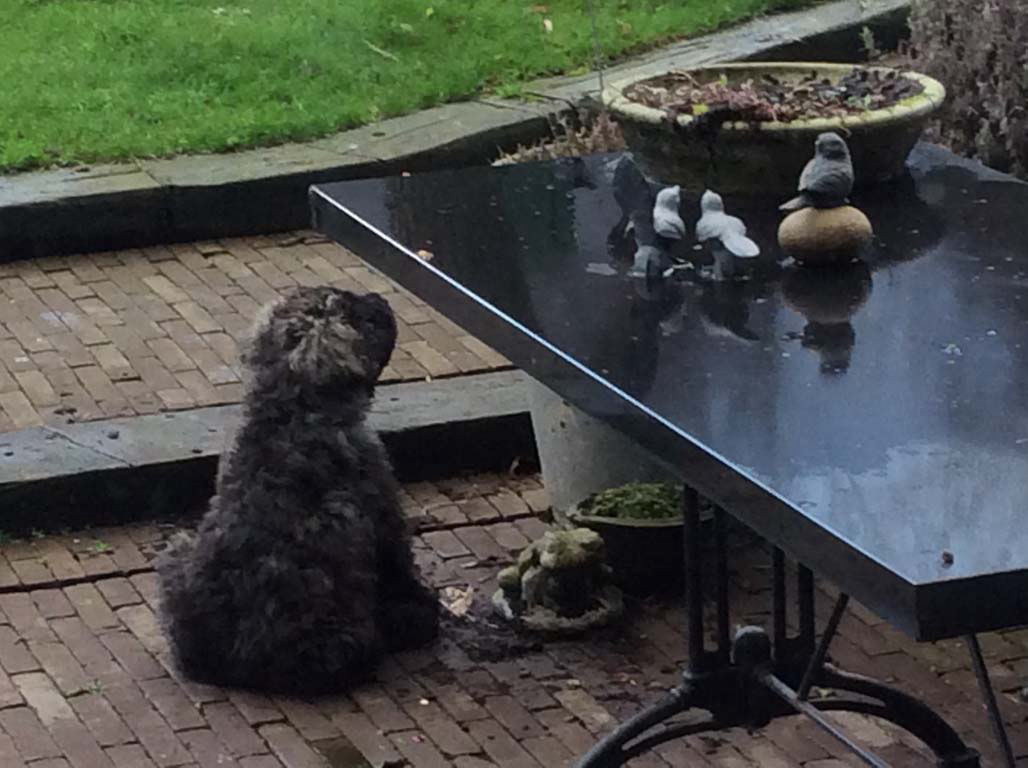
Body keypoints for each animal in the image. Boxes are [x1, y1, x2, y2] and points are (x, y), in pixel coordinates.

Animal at [158, 286, 439, 694]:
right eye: (356, 314)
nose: (379, 297)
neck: (290, 412)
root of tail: (237, 663)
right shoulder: (383, 512)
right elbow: (400, 569)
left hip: (176, 551)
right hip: (345, 635)